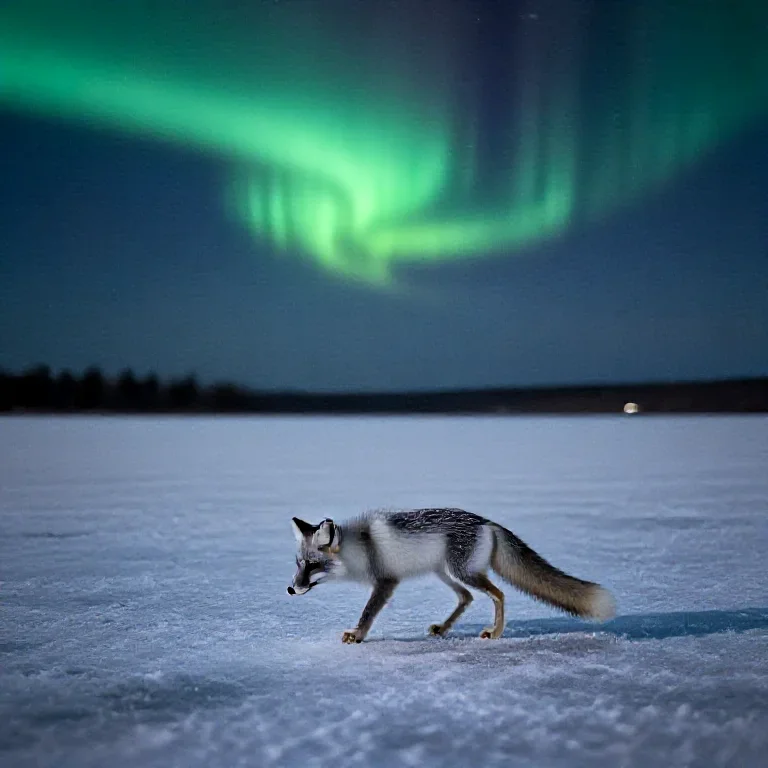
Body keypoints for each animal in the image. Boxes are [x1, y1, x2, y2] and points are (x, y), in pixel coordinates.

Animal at [287, 507, 616, 643]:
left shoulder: (386, 582)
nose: (291, 590)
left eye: (313, 565)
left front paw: (357, 636)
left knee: (498, 594)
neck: (363, 547)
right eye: (299, 564)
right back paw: (444, 629)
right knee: (467, 597)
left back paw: (495, 633)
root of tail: (487, 521)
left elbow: (367, 613)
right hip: (444, 572)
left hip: (462, 572)